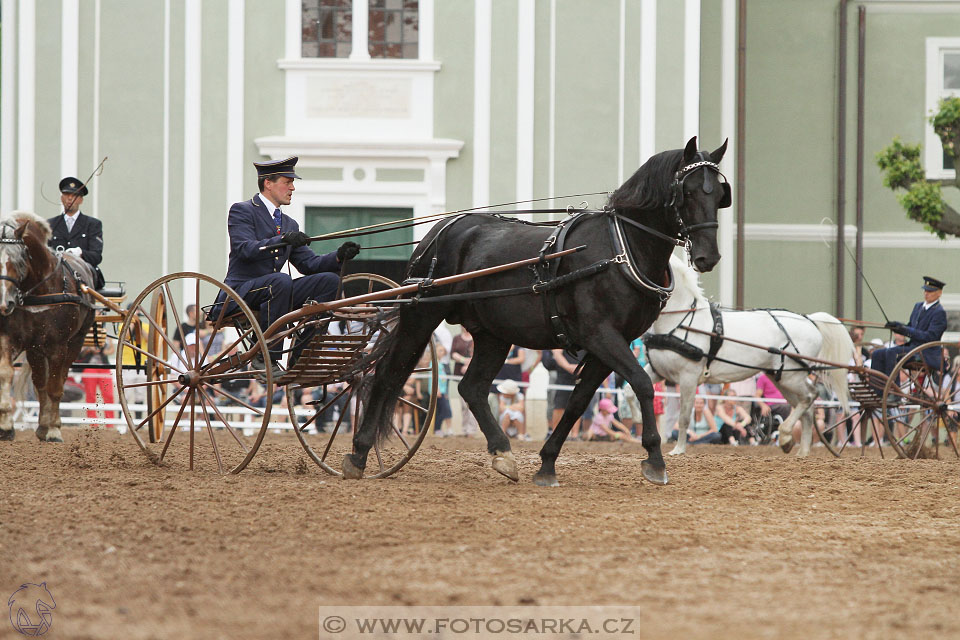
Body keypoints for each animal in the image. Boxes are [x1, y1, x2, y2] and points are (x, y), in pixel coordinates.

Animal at [0, 212, 96, 442]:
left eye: (18, 260)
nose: (3, 303)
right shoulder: (10, 338)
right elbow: (7, 373)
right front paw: (6, 426)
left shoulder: (57, 345)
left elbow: (55, 385)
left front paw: (54, 430)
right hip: (35, 349)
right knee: (40, 383)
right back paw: (42, 426)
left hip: (75, 342)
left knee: (59, 380)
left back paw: (51, 425)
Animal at [344, 135, 728, 484]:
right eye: (688, 192)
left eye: (719, 194)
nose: (708, 257)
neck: (621, 249)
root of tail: (441, 229)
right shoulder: (601, 334)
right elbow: (642, 384)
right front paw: (655, 459)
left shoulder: (610, 343)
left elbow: (578, 401)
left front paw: (547, 463)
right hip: (421, 316)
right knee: (386, 376)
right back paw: (359, 453)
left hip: (493, 334)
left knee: (472, 388)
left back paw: (503, 453)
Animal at [640, 252, 852, 458]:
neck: (681, 320)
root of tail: (809, 320)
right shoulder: (657, 371)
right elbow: (636, 392)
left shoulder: (688, 377)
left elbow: (684, 417)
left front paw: (678, 450)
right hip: (781, 378)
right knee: (806, 406)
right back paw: (801, 450)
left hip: (791, 377)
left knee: (809, 397)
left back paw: (786, 436)